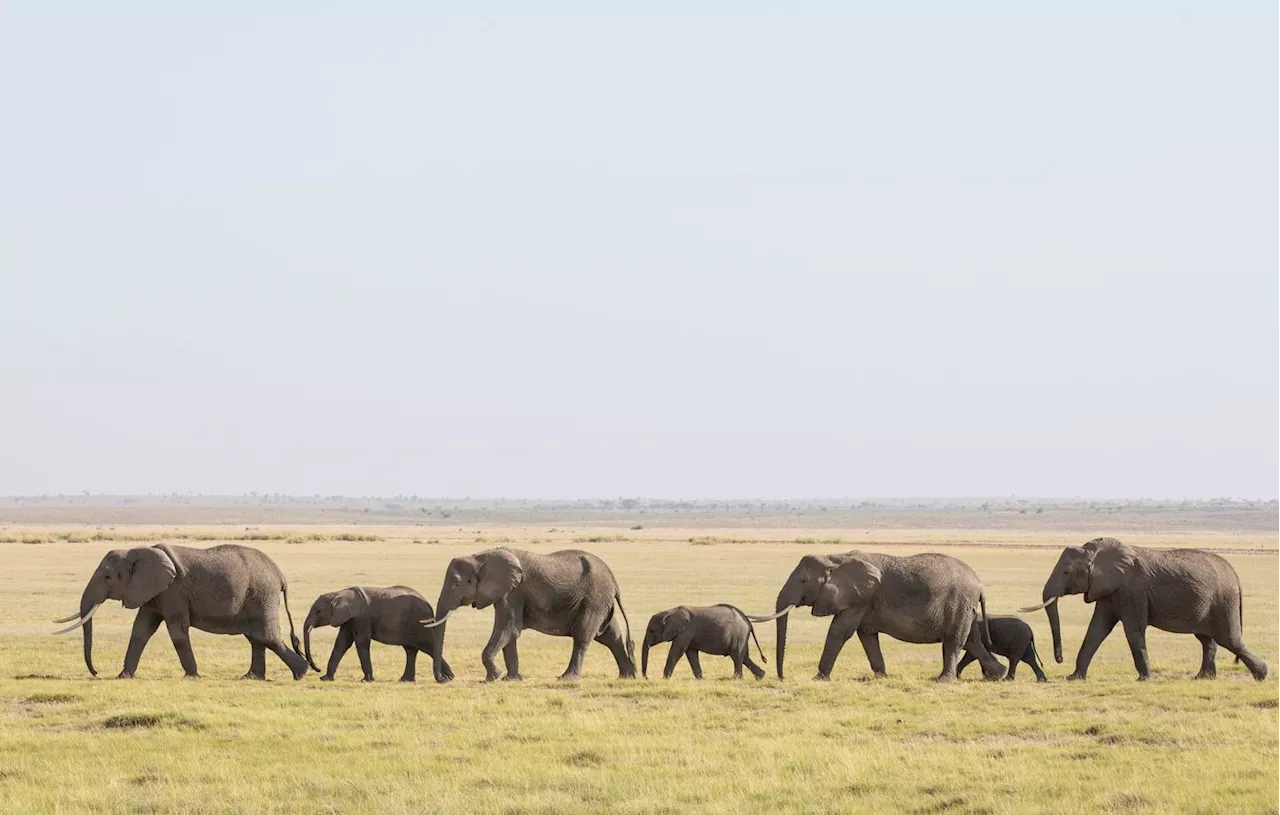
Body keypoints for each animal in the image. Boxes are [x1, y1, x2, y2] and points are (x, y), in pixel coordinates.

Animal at [50, 539, 312, 680]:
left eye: (107, 577)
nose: (95, 672)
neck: (137, 551)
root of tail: (280, 576)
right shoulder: (153, 591)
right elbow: (141, 630)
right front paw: (123, 676)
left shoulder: (173, 591)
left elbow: (177, 630)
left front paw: (193, 676)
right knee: (256, 638)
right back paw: (252, 677)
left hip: (261, 595)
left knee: (265, 636)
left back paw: (301, 673)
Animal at [300, 585, 455, 680]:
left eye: (318, 611)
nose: (317, 669)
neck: (339, 593)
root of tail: (429, 605)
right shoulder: (348, 618)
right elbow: (342, 643)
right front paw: (325, 679)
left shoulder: (361, 617)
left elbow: (361, 641)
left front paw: (366, 680)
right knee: (411, 650)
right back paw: (405, 680)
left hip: (419, 621)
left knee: (428, 646)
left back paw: (448, 678)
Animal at [422, 547, 637, 680]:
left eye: (457, 584)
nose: (445, 679)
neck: (480, 556)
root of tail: (613, 579)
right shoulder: (506, 592)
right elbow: (510, 633)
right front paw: (511, 679)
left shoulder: (513, 592)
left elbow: (507, 628)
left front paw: (495, 677)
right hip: (600, 600)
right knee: (610, 635)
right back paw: (627, 677)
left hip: (594, 599)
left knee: (583, 635)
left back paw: (567, 679)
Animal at [757, 552, 1008, 680]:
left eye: (803, 581)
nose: (780, 677)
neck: (834, 558)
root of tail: (979, 584)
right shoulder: (863, 602)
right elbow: (866, 634)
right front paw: (881, 677)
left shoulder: (858, 598)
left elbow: (840, 631)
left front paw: (818, 678)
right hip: (966, 607)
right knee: (971, 640)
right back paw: (999, 675)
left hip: (959, 602)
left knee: (954, 640)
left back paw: (944, 680)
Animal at [1018, 534, 1269, 680]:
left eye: (1066, 572)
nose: (1058, 659)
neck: (1095, 552)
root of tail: (1236, 577)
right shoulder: (1109, 589)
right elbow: (1097, 629)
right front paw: (1075, 678)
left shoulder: (1132, 590)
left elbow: (1133, 630)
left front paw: (1144, 679)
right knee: (1207, 640)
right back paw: (1202, 678)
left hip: (1223, 601)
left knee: (1229, 639)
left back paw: (1262, 675)